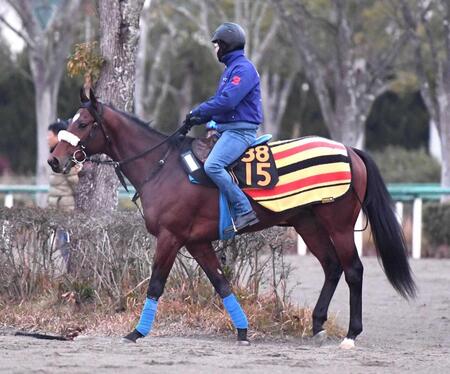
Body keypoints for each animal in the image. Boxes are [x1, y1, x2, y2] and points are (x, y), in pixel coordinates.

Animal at [47, 90, 416, 348]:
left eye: (82, 123)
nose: (54, 159)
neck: (163, 166)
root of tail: (349, 151)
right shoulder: (196, 241)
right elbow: (221, 282)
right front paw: (242, 329)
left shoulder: (170, 236)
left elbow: (156, 284)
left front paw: (137, 331)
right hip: (308, 224)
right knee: (332, 267)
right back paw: (317, 324)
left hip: (338, 225)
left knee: (353, 270)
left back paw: (351, 334)